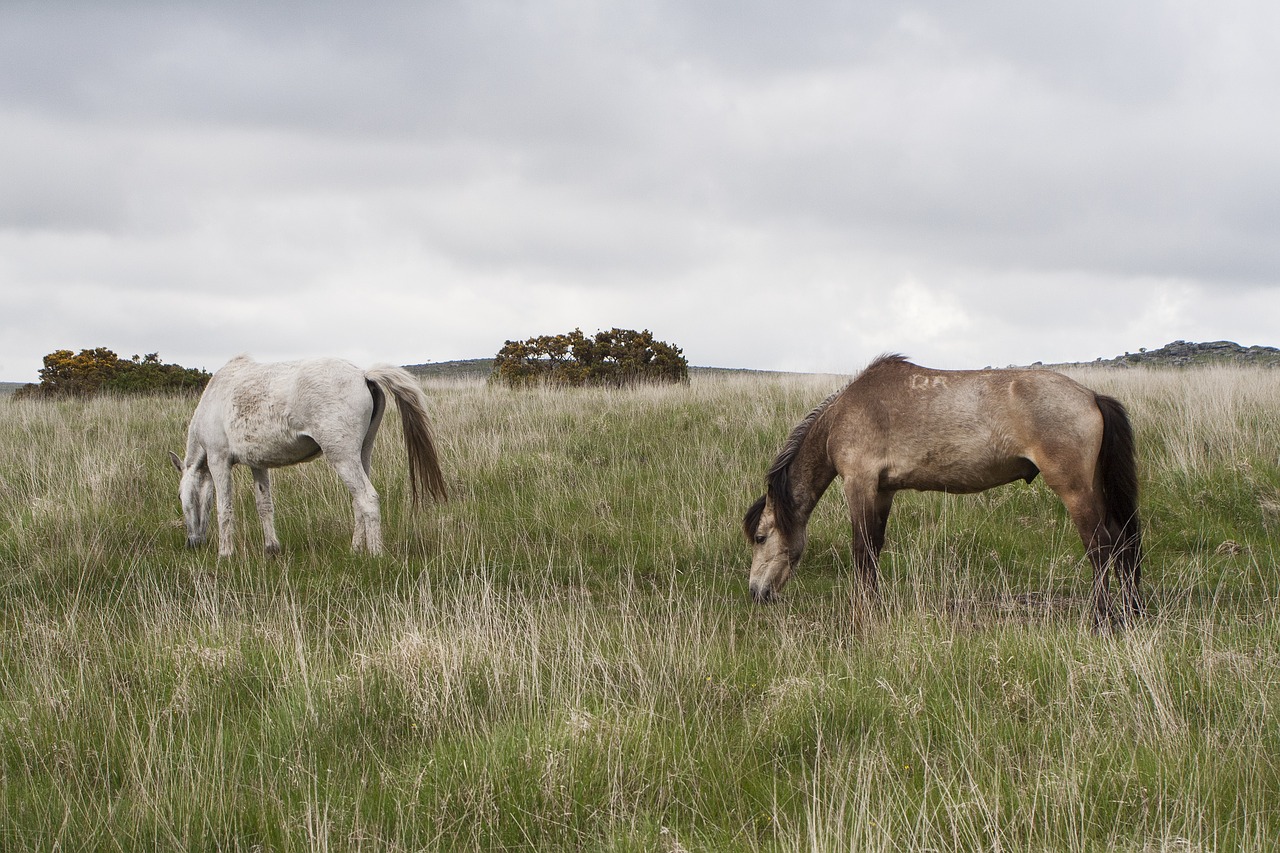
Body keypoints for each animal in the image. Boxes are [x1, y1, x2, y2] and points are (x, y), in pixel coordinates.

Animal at [168, 356, 450, 555]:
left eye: (180, 496)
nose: (192, 543)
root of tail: (363, 375)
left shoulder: (219, 460)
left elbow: (224, 508)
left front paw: (225, 553)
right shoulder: (258, 464)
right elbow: (264, 505)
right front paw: (271, 548)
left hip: (342, 457)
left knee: (367, 499)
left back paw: (375, 555)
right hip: (362, 454)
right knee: (358, 502)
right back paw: (355, 550)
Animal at [747, 350, 1146, 625]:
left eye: (761, 537)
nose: (755, 592)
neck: (841, 416)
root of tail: (1091, 396)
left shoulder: (859, 483)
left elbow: (862, 552)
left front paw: (863, 613)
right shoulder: (883, 491)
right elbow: (874, 548)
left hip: (1074, 490)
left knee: (1100, 547)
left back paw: (1100, 619)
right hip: (1095, 488)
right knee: (1121, 539)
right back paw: (1130, 612)